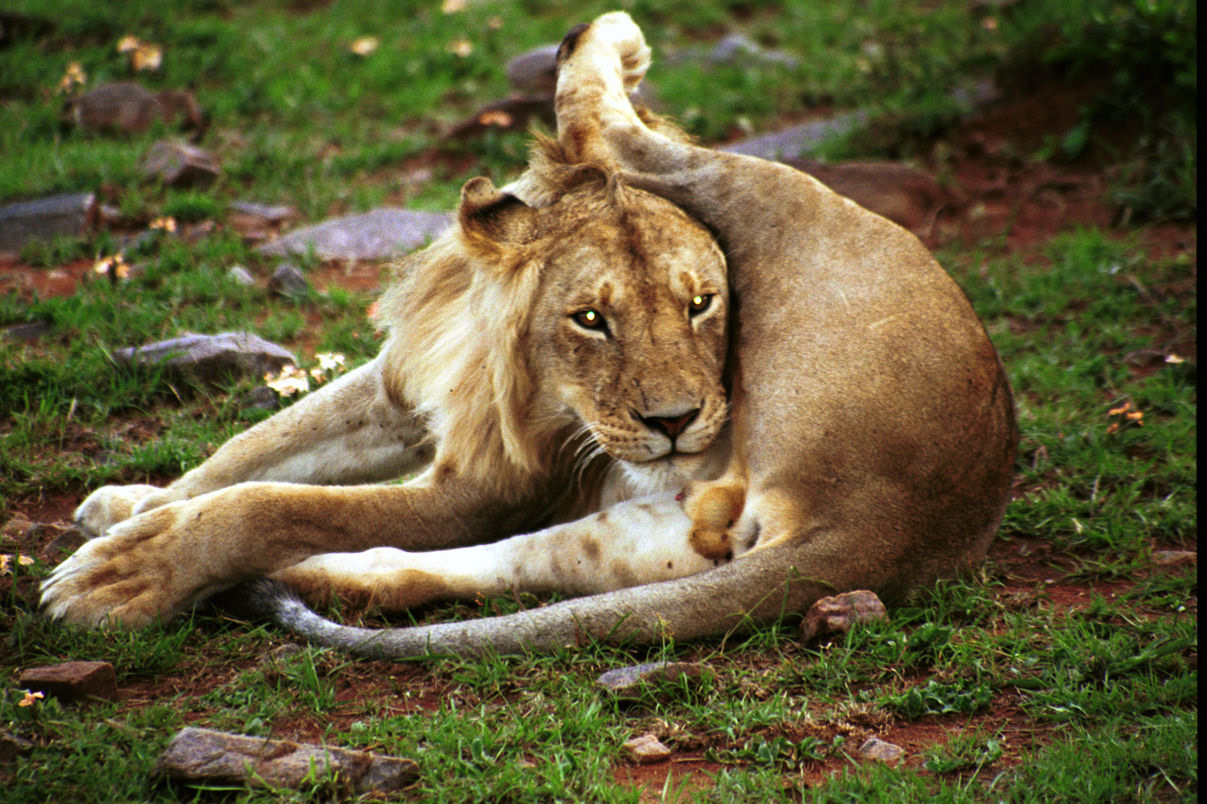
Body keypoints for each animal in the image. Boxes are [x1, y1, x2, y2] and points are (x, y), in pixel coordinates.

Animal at [42, 10, 1013, 656]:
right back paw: (323, 576)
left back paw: (611, 38)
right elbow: (254, 449)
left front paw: (120, 574)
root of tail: (887, 519)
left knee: (613, 128)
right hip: (646, 539)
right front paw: (128, 507)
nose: (675, 425)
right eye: (590, 319)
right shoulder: (403, 386)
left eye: (703, 305)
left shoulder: (489, 486)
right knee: (482, 567)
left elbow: (270, 501)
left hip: (776, 200)